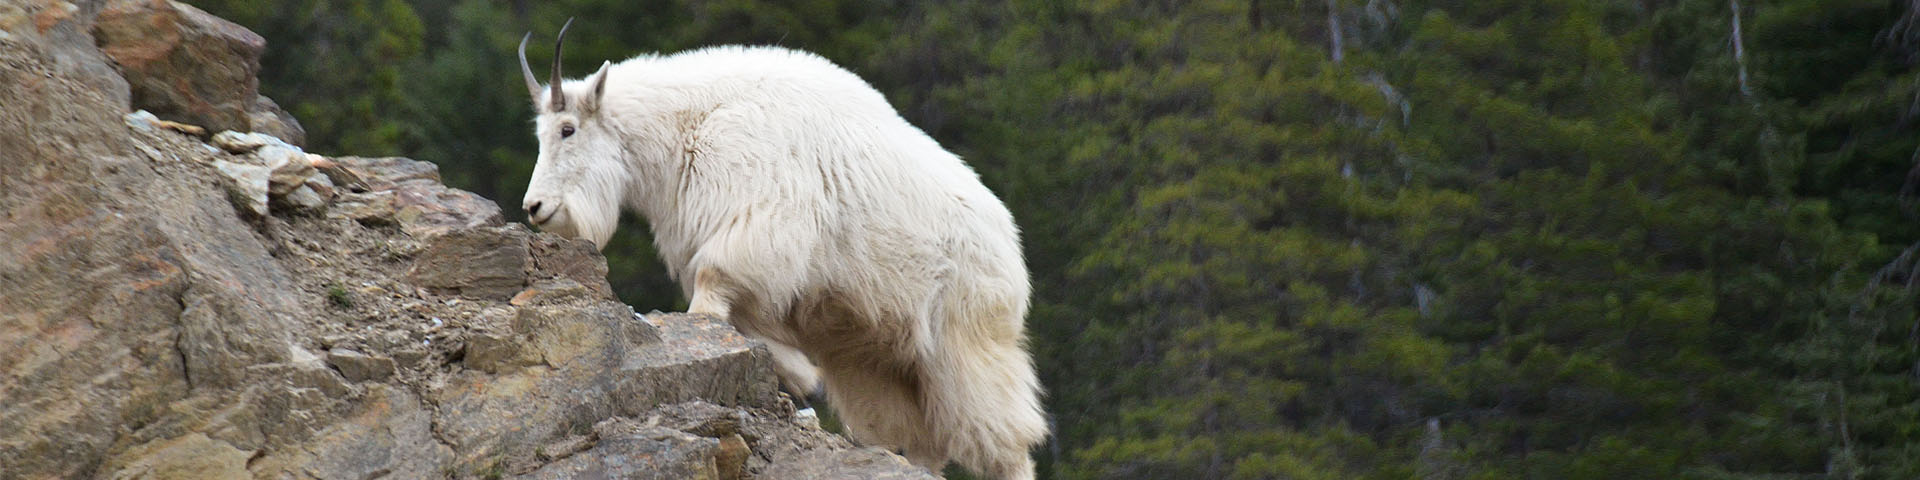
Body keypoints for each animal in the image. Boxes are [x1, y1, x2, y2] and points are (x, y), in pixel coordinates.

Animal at [510, 20, 1052, 478]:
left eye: (567, 129)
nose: (535, 207)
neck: (685, 125)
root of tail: (1011, 244)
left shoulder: (759, 228)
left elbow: (710, 288)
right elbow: (743, 317)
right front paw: (797, 373)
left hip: (967, 341)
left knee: (1001, 438)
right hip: (877, 357)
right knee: (914, 437)